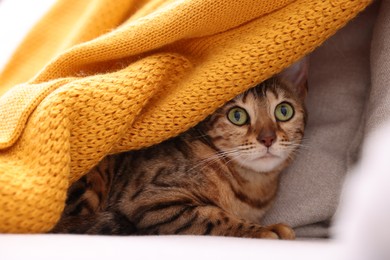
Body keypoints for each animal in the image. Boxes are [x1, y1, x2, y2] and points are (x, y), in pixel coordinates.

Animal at [51, 59, 308, 238]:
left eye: (284, 111)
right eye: (238, 116)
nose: (268, 138)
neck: (252, 188)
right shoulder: (150, 201)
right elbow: (214, 216)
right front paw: (262, 230)